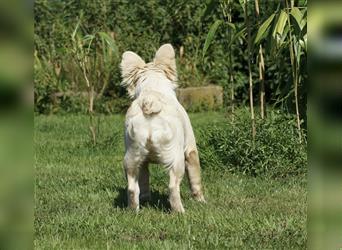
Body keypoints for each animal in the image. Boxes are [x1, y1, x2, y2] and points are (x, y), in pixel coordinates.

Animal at [121, 44, 203, 212]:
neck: (152, 87)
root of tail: (150, 101)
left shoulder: (143, 163)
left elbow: (144, 183)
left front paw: (145, 200)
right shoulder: (191, 150)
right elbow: (195, 179)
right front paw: (201, 200)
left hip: (131, 158)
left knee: (132, 188)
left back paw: (133, 210)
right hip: (177, 160)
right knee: (173, 187)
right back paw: (180, 212)